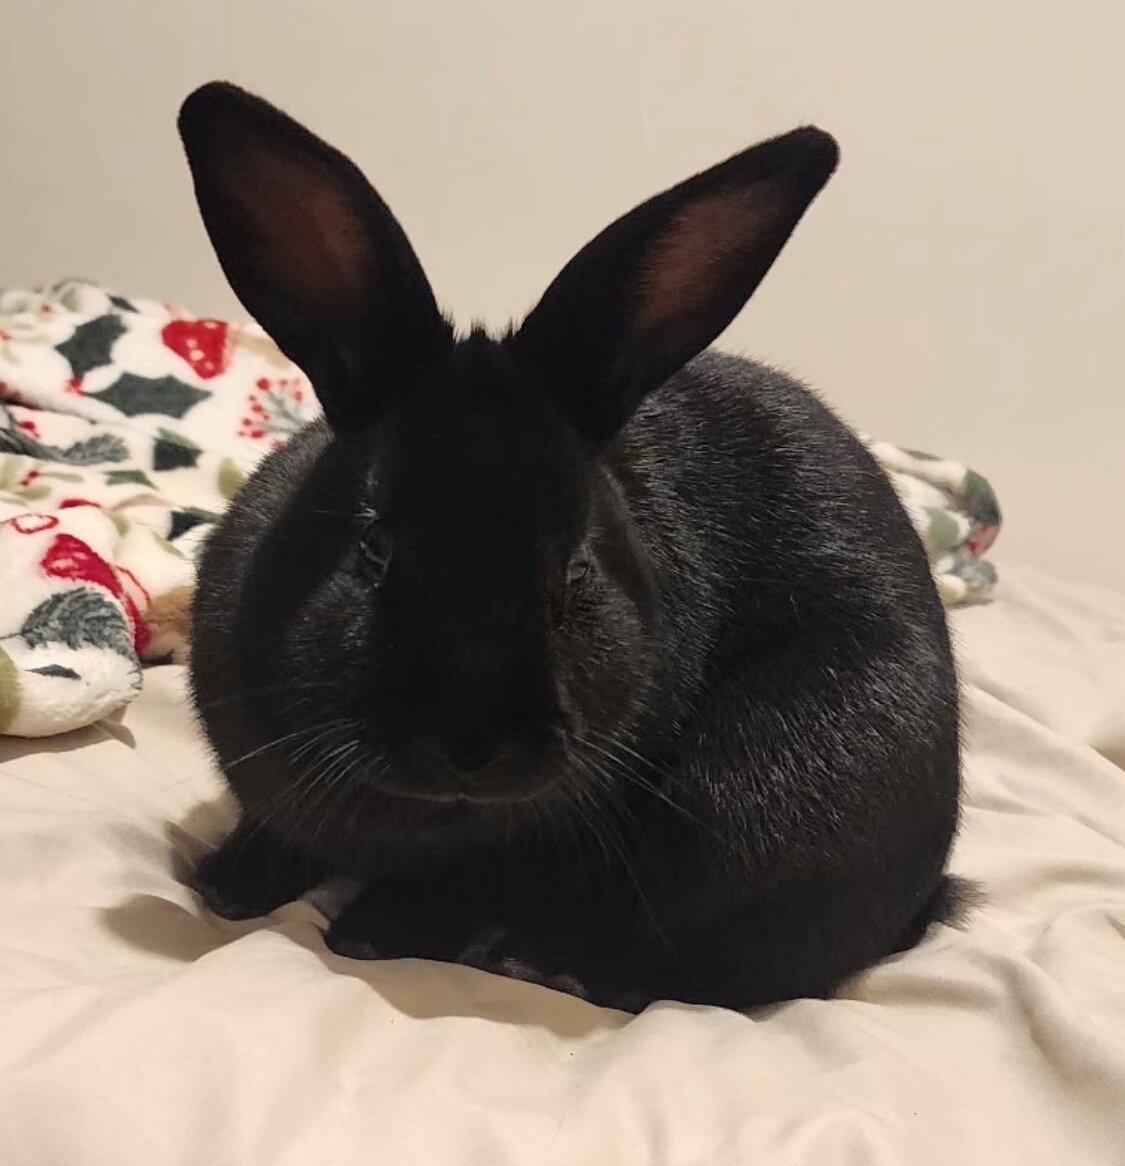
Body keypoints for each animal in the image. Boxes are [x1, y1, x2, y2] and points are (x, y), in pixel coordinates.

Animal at [179, 81, 961, 1011]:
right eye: (373, 550)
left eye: (575, 569)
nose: (472, 745)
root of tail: (925, 888)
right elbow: (273, 830)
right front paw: (224, 886)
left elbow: (452, 890)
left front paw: (371, 935)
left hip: (765, 792)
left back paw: (538, 960)